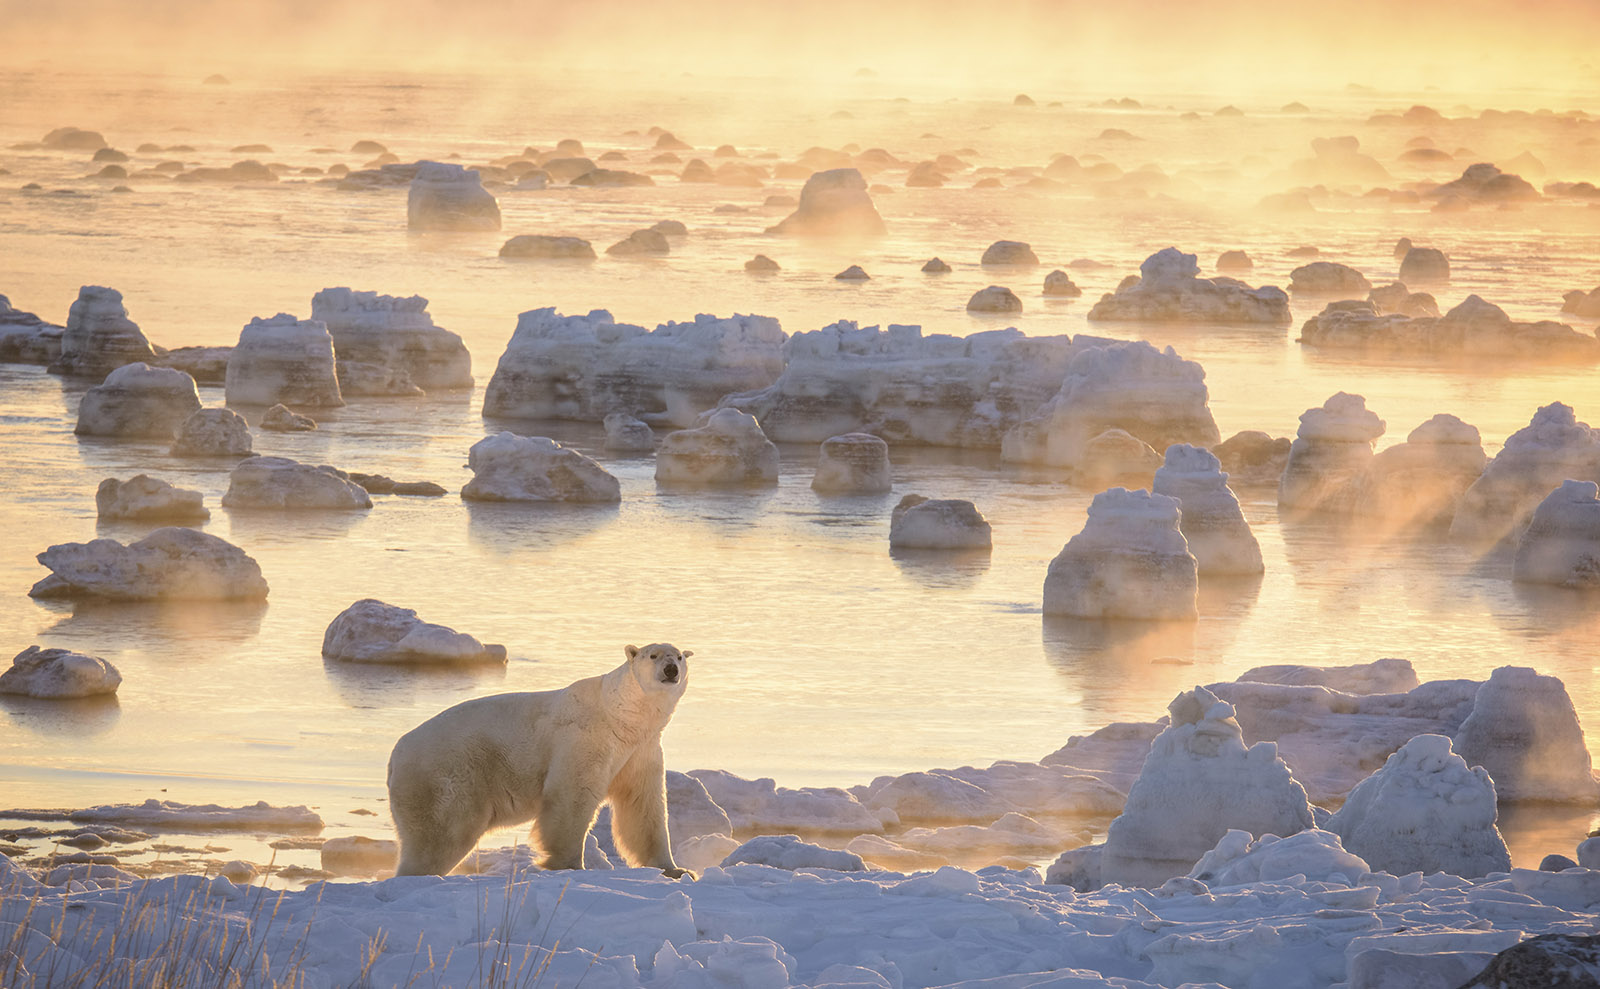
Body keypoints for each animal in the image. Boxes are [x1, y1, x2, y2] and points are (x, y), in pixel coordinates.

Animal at [387, 642, 693, 878]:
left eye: (678, 656)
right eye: (653, 655)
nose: (671, 670)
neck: (621, 717)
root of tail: (395, 756)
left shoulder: (641, 750)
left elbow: (643, 805)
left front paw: (677, 870)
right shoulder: (584, 738)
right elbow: (572, 796)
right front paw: (570, 864)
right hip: (446, 778)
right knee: (442, 836)